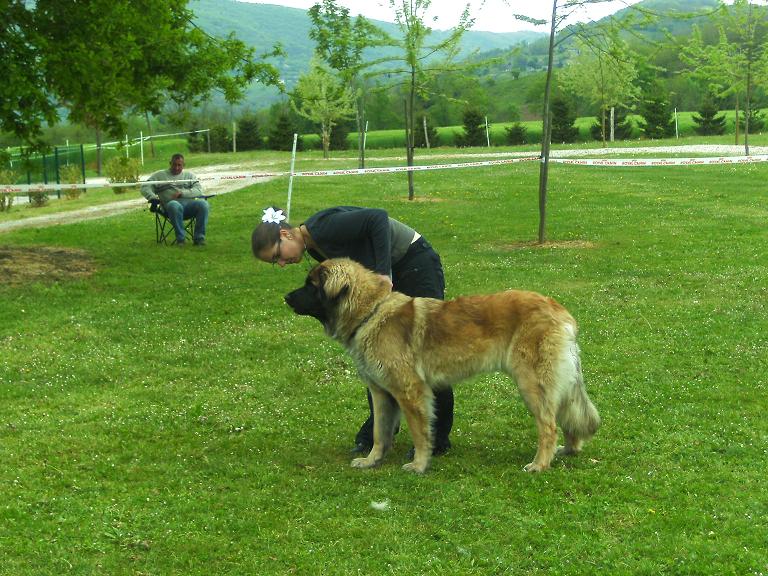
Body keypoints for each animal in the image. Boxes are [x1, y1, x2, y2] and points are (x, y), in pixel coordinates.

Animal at [284, 258, 600, 472]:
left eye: (311, 285)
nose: (285, 297)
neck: (370, 312)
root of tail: (560, 310)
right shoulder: (382, 393)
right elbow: (379, 433)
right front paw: (372, 460)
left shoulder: (410, 392)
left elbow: (420, 432)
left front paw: (419, 464)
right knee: (566, 416)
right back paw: (568, 450)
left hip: (532, 383)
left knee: (549, 426)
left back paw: (539, 464)